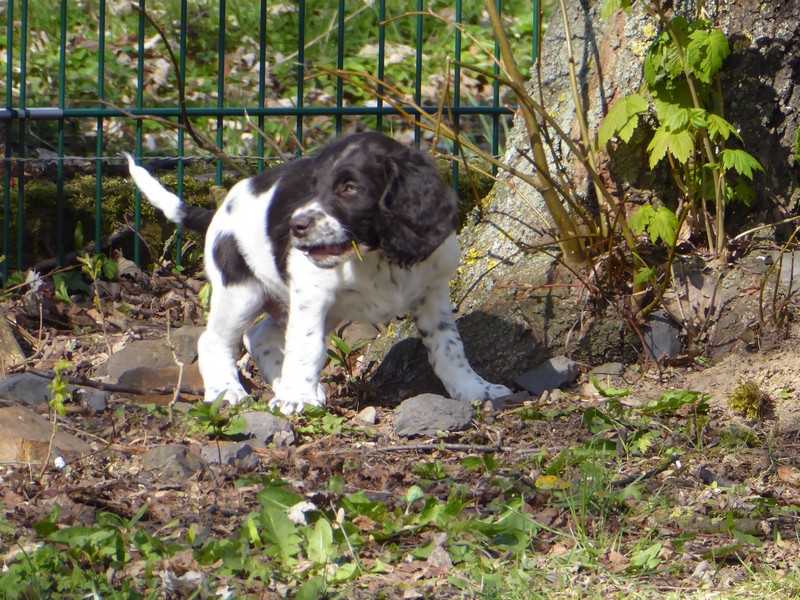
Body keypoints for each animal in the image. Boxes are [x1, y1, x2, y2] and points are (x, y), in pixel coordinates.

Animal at [127, 132, 511, 414]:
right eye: (313, 186)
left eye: (350, 188)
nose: (295, 226)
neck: (376, 256)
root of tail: (218, 212)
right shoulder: (312, 295)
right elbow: (307, 347)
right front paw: (297, 398)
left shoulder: (433, 291)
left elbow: (449, 347)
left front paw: (474, 389)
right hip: (242, 292)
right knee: (215, 340)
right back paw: (228, 391)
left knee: (259, 337)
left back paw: (282, 383)